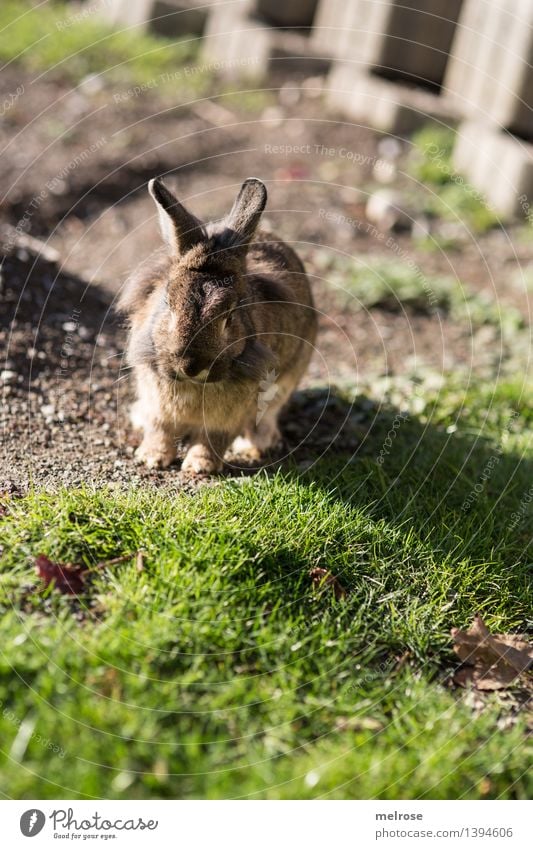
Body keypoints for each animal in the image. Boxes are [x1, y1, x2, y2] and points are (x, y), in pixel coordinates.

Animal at [119, 176, 316, 474]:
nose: (191, 366)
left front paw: (199, 466)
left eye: (230, 317)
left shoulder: (230, 414)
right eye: (168, 303)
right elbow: (159, 429)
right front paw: (151, 458)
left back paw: (256, 445)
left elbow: (214, 438)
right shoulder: (156, 400)